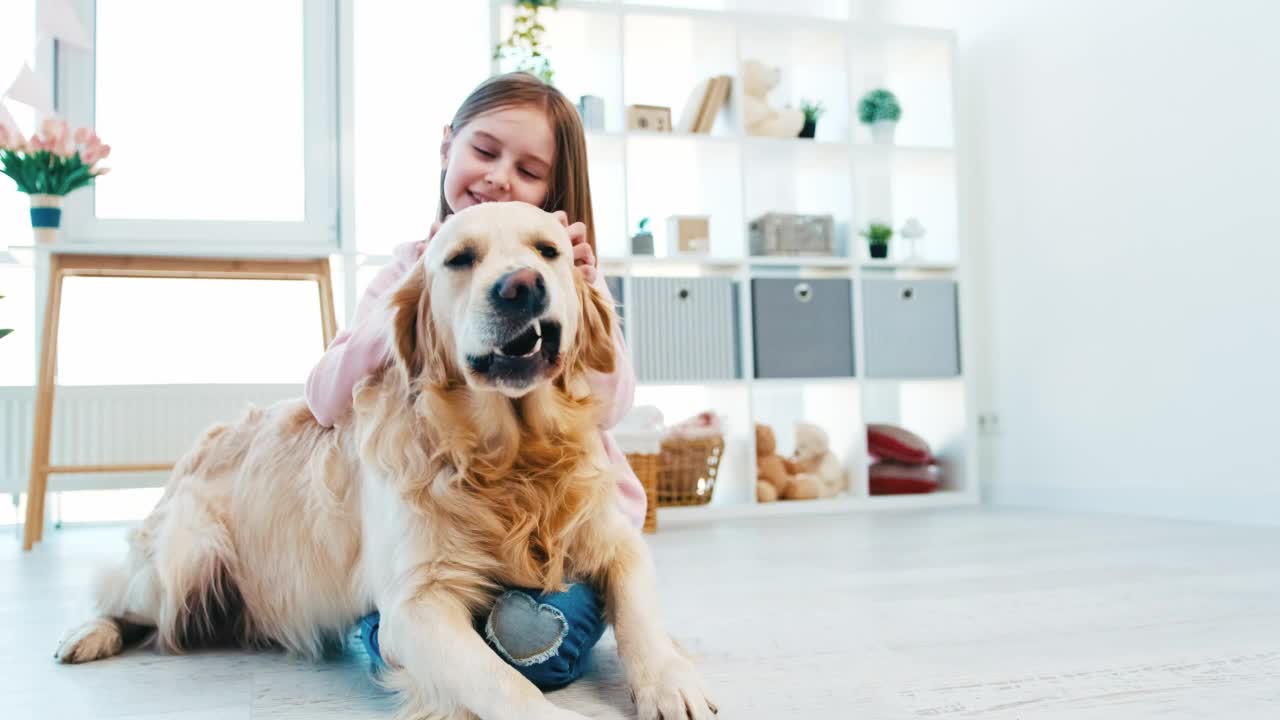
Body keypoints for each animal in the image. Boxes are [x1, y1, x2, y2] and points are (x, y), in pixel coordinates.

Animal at [57, 199, 721, 717]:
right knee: (120, 599)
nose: (522, 286)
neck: (510, 462)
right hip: (187, 555)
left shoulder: (614, 541)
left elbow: (640, 617)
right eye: (460, 259)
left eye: (549, 251)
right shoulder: (415, 605)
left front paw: (671, 682)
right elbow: (504, 683)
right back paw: (86, 635)